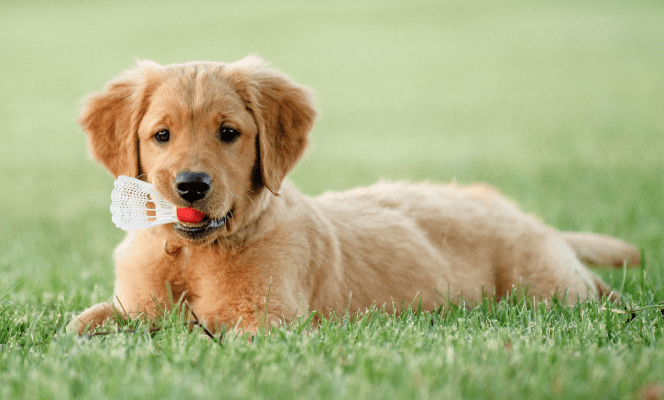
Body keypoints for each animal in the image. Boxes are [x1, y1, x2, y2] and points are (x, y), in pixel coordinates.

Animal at [66, 54, 640, 332]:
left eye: (228, 133)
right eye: (161, 135)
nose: (191, 185)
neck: (191, 253)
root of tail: (530, 218)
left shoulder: (265, 323)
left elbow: (195, 333)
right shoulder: (134, 303)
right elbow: (84, 323)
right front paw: (88, 332)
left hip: (543, 286)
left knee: (592, 295)